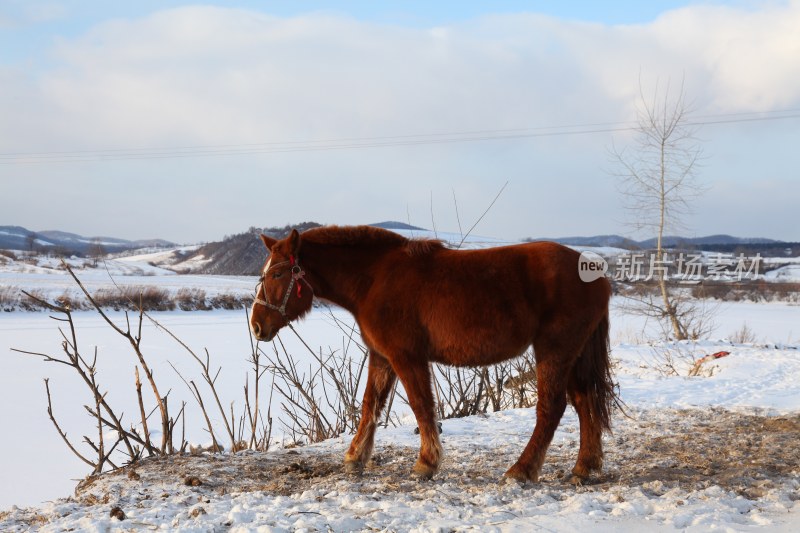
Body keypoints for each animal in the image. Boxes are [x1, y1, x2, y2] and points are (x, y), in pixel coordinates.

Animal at [253, 224, 616, 482]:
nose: (256, 326)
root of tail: (593, 270)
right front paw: (355, 458)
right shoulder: (381, 357)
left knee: (552, 408)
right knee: (585, 403)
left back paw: (521, 471)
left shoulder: (406, 356)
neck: (375, 278)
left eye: (277, 273)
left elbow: (421, 406)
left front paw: (426, 463)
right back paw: (584, 468)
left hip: (554, 350)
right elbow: (370, 405)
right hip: (575, 355)